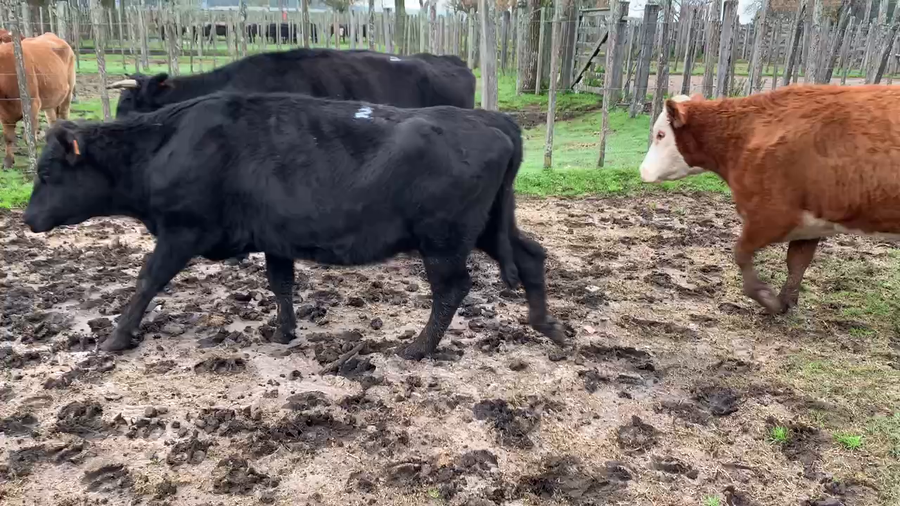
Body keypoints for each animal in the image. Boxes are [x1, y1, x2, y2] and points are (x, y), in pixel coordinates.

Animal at [0, 32, 75, 168]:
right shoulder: (3, 112)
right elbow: (8, 137)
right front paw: (8, 162)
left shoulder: (32, 105)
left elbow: (29, 138)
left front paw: (33, 162)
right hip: (51, 99)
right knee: (52, 119)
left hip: (68, 93)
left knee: (63, 115)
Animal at [22, 92, 566, 359]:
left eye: (46, 173)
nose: (27, 220)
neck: (166, 143)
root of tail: (491, 119)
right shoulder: (274, 237)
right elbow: (281, 284)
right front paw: (284, 332)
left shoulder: (181, 232)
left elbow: (145, 282)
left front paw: (115, 338)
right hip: (487, 227)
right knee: (531, 256)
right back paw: (548, 329)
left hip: (444, 239)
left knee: (452, 289)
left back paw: (418, 348)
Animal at [639, 85, 900, 315]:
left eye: (661, 134)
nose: (643, 170)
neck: (746, 133)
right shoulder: (810, 224)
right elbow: (797, 262)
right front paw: (785, 301)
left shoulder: (771, 217)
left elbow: (741, 253)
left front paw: (767, 298)